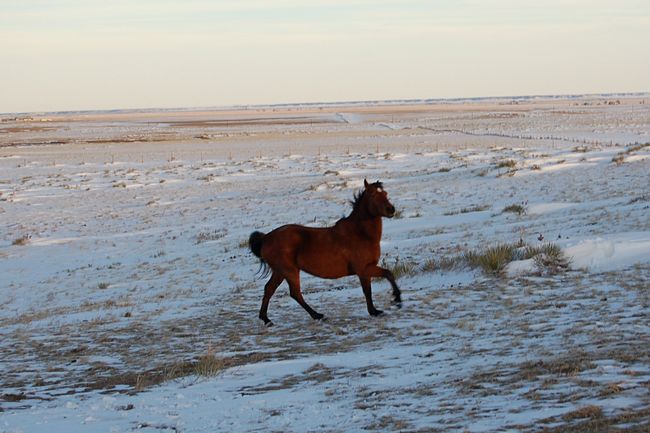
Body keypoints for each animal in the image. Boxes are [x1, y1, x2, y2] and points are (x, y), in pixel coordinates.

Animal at [249, 179, 401, 326]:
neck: (360, 233)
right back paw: (317, 315)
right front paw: (394, 300)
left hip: (280, 272)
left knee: (269, 289)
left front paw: (378, 309)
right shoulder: (363, 269)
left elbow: (373, 286)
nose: (391, 209)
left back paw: (267, 320)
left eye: (386, 193)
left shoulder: (366, 270)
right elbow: (382, 278)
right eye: (373, 194)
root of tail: (266, 238)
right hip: (289, 271)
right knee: (295, 293)